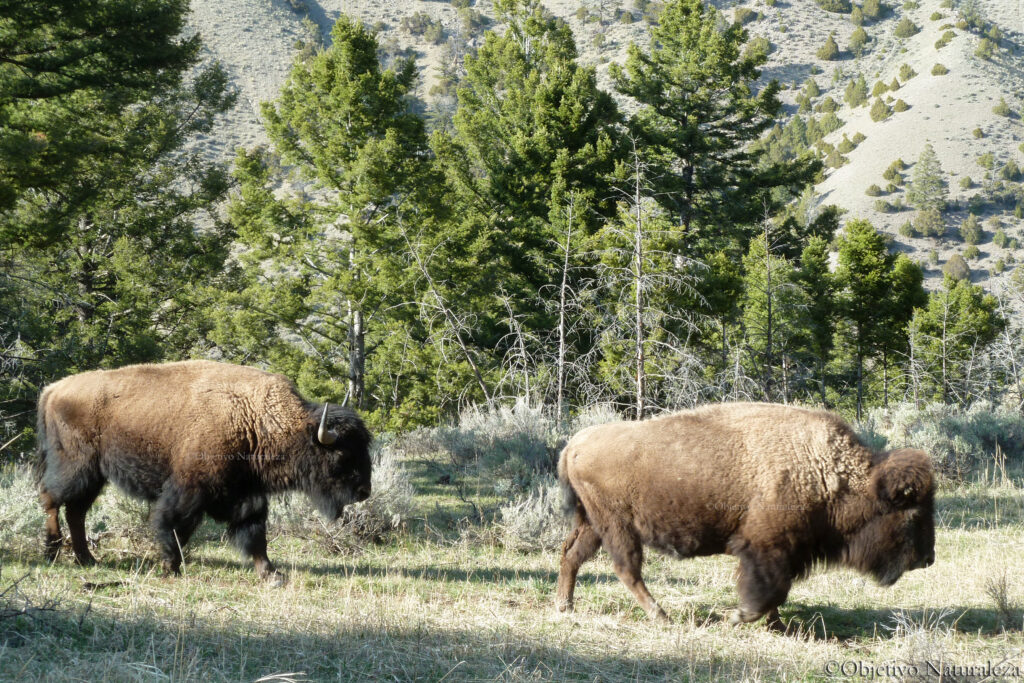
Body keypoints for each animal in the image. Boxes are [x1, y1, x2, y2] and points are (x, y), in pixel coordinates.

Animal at [36, 358, 372, 581]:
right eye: (343, 454)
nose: (364, 491)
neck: (256, 418)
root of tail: (53, 389)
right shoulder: (189, 489)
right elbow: (175, 526)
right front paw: (170, 567)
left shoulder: (248, 494)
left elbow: (255, 533)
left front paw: (271, 573)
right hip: (77, 466)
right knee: (52, 498)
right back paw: (52, 552)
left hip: (95, 476)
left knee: (75, 511)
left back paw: (86, 559)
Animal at [557, 403, 933, 626]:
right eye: (913, 515)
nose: (927, 558)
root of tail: (573, 445)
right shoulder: (767, 550)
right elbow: (770, 591)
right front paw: (739, 617)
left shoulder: (783, 553)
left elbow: (778, 594)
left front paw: (776, 625)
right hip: (616, 525)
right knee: (626, 568)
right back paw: (660, 615)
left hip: (592, 524)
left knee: (572, 554)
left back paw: (565, 606)